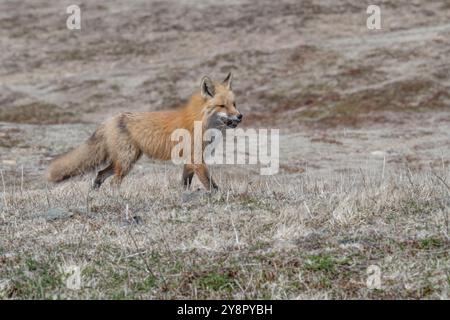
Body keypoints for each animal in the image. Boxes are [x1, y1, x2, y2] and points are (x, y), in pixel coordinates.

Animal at [46, 74, 243, 191]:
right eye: (222, 106)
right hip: (127, 161)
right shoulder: (196, 159)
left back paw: (95, 194)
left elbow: (185, 183)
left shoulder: (190, 161)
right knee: (113, 181)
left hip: (125, 160)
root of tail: (109, 120)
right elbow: (211, 185)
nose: (240, 116)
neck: (200, 122)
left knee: (100, 174)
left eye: (234, 104)